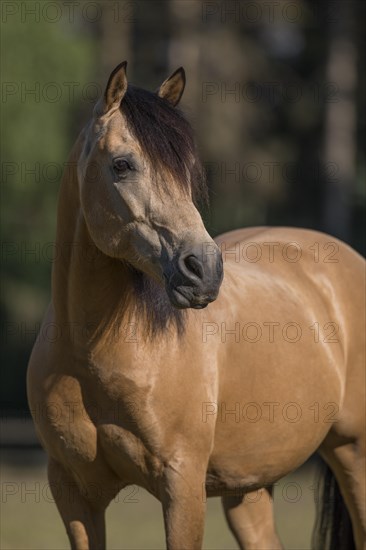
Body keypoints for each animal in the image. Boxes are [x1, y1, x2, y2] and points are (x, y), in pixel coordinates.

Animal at [27, 62, 364, 548]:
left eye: (186, 169)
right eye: (122, 164)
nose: (204, 270)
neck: (94, 353)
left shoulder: (182, 486)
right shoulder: (73, 493)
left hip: (352, 453)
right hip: (249, 488)